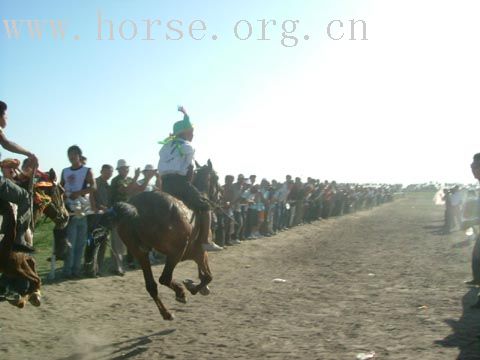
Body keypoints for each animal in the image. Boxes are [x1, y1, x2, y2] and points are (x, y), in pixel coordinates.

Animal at [0, 168, 70, 306]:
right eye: (62, 191)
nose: (66, 217)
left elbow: (33, 264)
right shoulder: (13, 264)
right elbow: (36, 279)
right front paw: (32, 296)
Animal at [103, 160, 219, 320]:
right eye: (217, 178)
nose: (219, 195)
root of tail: (135, 209)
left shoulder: (196, 254)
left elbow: (204, 274)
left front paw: (197, 285)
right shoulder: (199, 252)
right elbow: (208, 276)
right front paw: (193, 286)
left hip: (140, 253)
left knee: (151, 285)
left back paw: (167, 313)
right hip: (175, 253)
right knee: (164, 278)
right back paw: (180, 293)